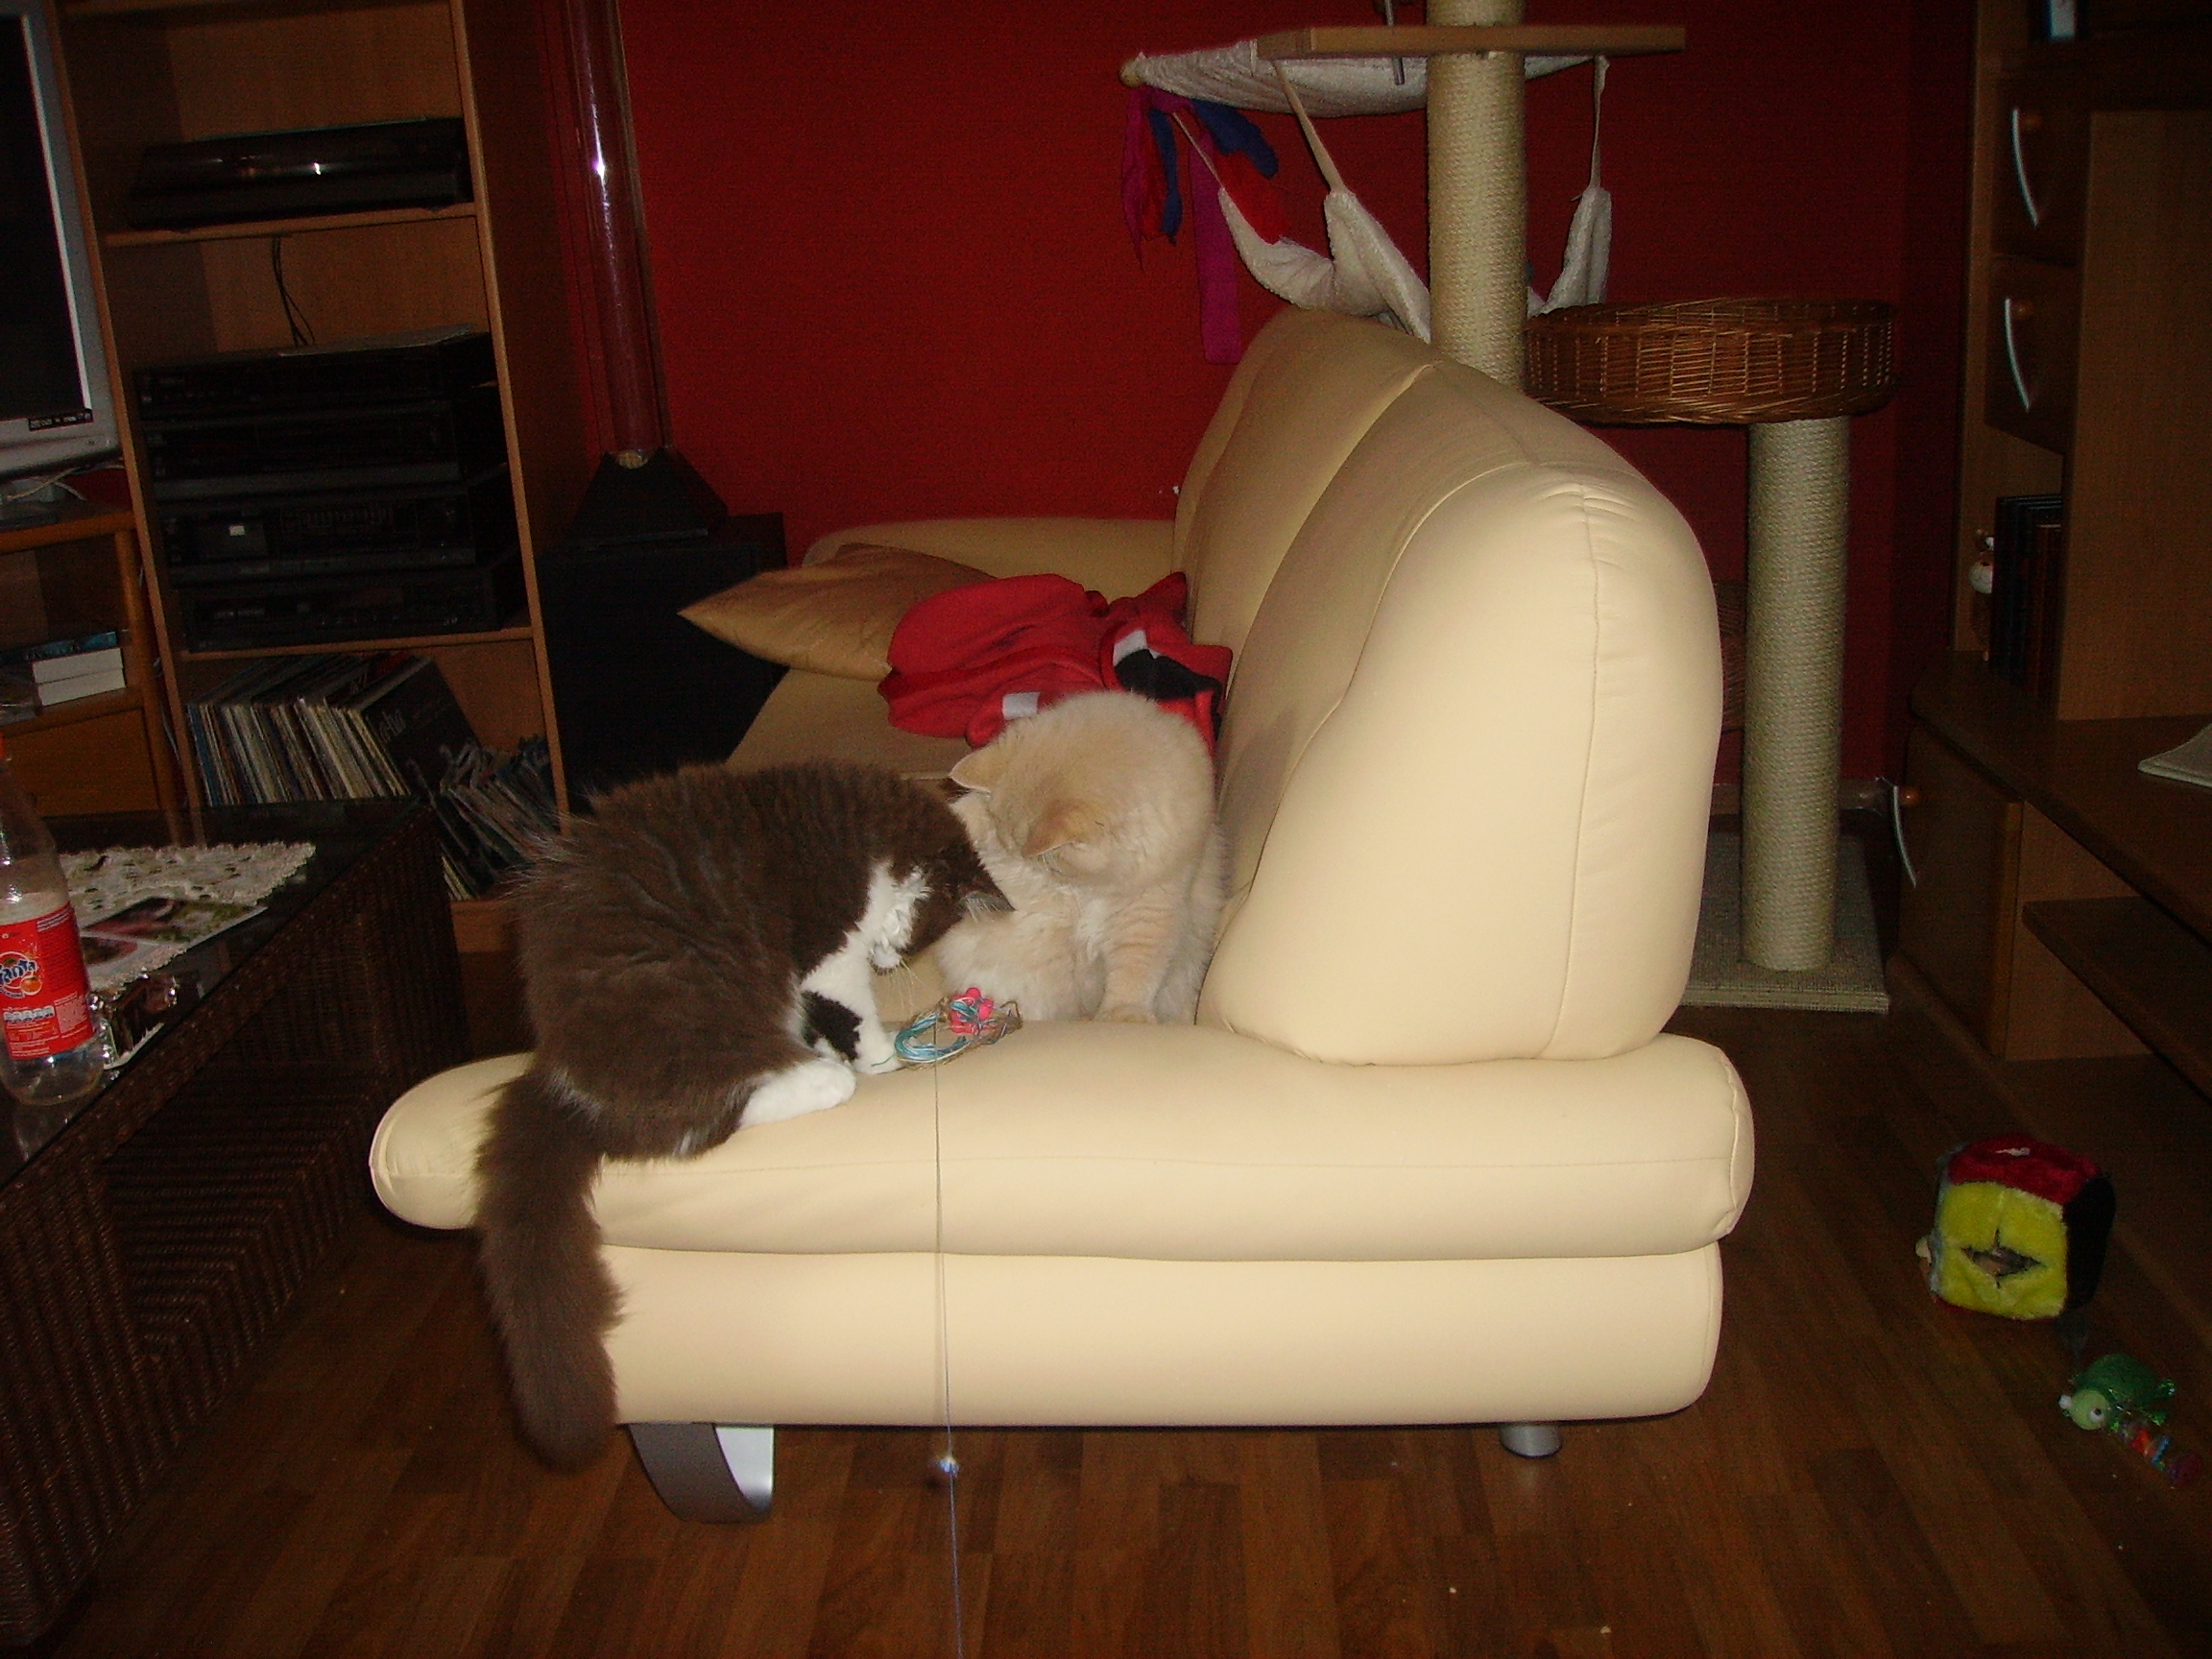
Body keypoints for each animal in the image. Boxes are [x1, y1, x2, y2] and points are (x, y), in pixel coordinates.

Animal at [474, 758, 1006, 1469]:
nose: (891, 959)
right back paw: (821, 1079)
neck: (869, 835)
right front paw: (877, 1058)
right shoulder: (829, 944)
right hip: (692, 1015)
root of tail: (566, 1081)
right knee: (692, 1126)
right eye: (927, 933)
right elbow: (850, 1006)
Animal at [932, 690, 1227, 1024]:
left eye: (1046, 861)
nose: (1019, 860)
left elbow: (1135, 973)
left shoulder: (1150, 906)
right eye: (1009, 845)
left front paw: (1123, 1016)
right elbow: (964, 814)